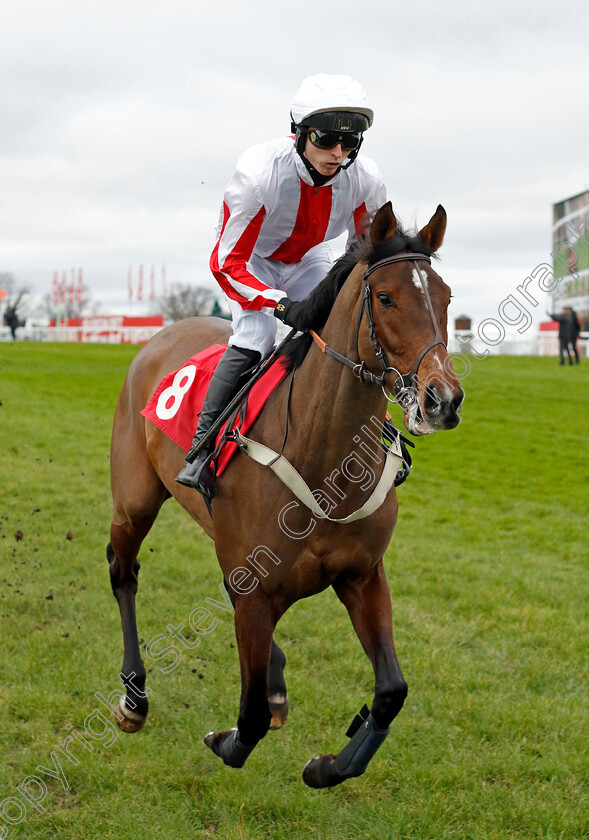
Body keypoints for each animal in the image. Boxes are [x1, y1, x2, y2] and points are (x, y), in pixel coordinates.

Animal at [105, 202, 464, 788]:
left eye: (446, 297)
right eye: (386, 298)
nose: (443, 400)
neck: (325, 461)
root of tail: (161, 335)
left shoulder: (361, 575)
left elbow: (391, 691)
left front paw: (328, 765)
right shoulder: (255, 591)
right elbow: (246, 718)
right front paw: (225, 738)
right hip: (134, 501)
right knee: (123, 571)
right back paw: (134, 698)